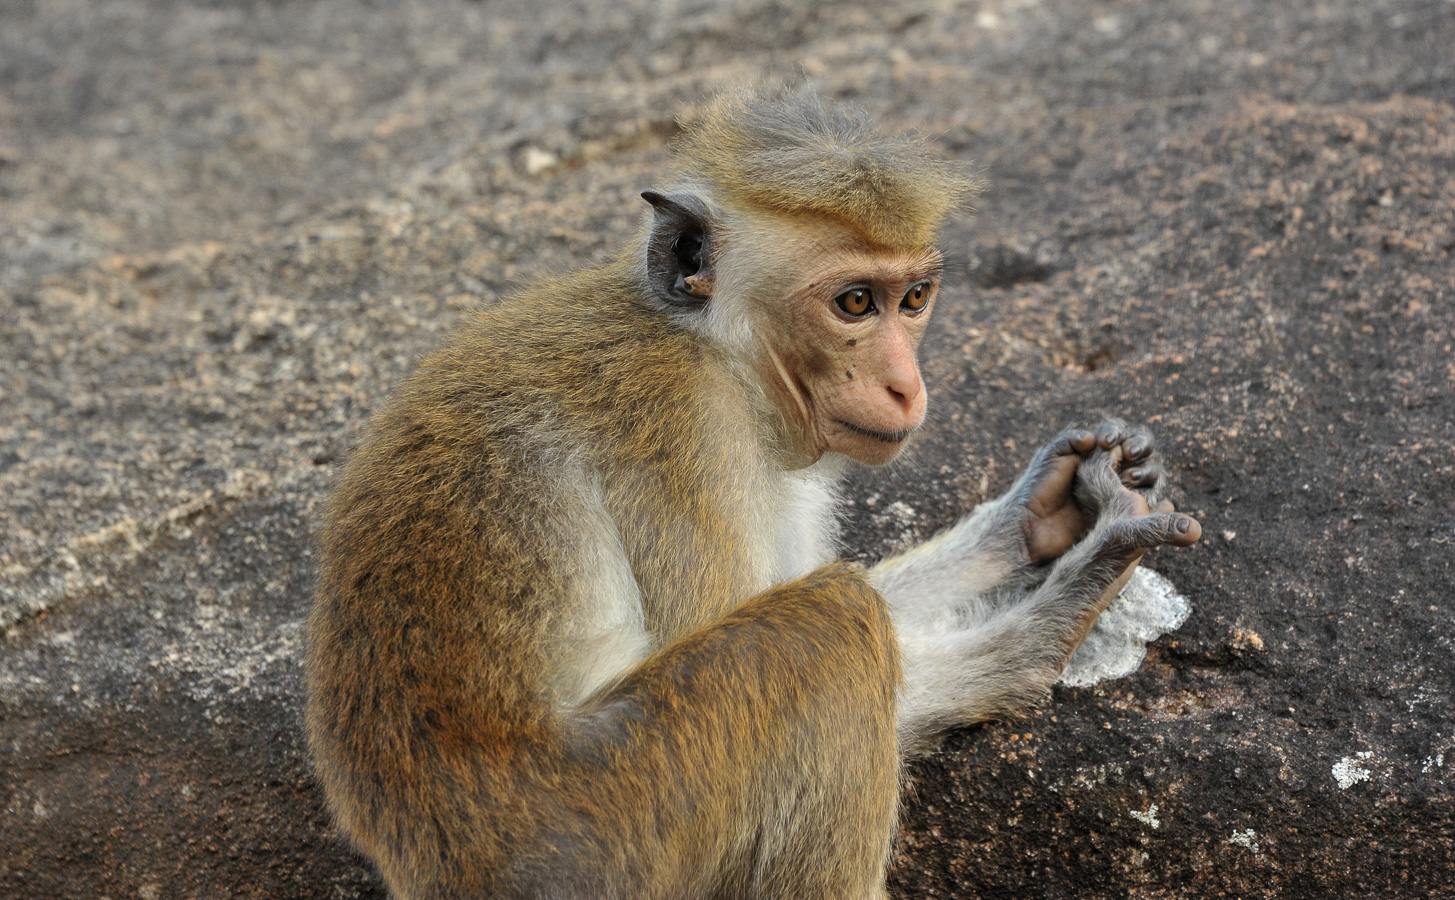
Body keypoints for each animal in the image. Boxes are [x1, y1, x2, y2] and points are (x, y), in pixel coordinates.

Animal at [304, 86, 1193, 900]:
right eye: (855, 303)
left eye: (913, 299)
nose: (907, 387)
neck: (718, 348)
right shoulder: (685, 420)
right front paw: (1054, 616)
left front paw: (1039, 515)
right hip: (608, 822)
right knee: (833, 622)